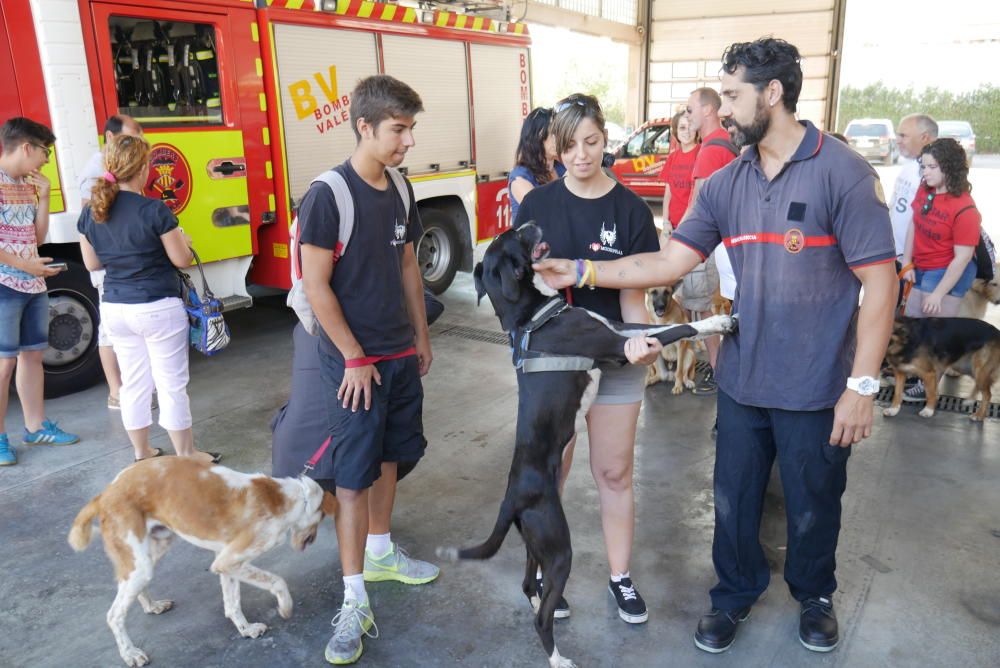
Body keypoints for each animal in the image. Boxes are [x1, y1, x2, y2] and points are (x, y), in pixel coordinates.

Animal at [438, 224, 736, 668]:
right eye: (515, 235)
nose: (531, 224)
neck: (533, 316)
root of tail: (511, 499)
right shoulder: (617, 347)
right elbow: (678, 330)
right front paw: (718, 321)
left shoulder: (620, 329)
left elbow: (655, 328)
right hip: (559, 547)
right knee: (541, 615)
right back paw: (558, 657)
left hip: (535, 543)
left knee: (527, 584)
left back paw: (537, 605)